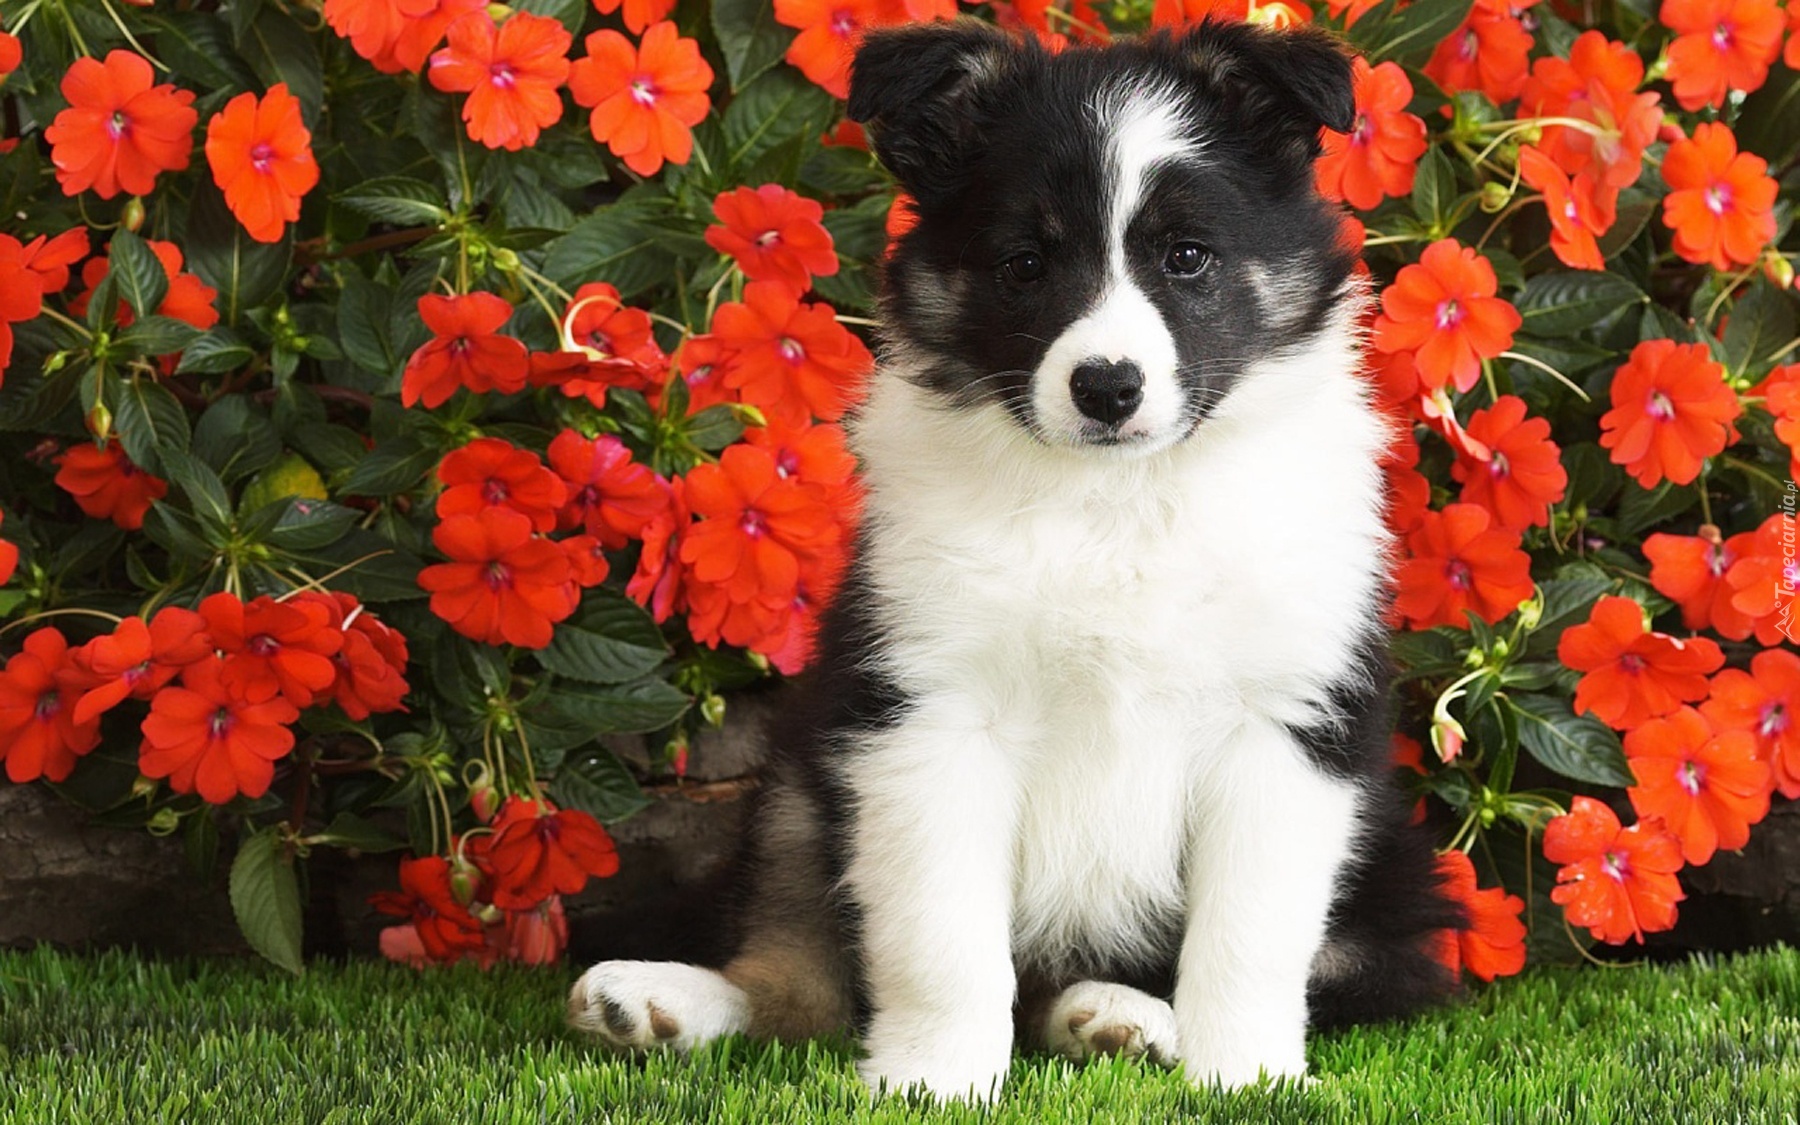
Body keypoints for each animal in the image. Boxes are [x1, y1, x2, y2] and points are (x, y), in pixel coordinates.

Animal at [568, 21, 1468, 1101]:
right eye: (1026, 263)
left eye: (1189, 257)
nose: (1108, 388)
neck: (1116, 501)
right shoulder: (927, 712)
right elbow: (939, 937)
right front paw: (933, 1079)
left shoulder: (1286, 722)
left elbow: (1249, 934)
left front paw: (1244, 1077)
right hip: (798, 779)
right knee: (796, 976)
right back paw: (652, 1001)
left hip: (1396, 884)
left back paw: (1117, 1016)